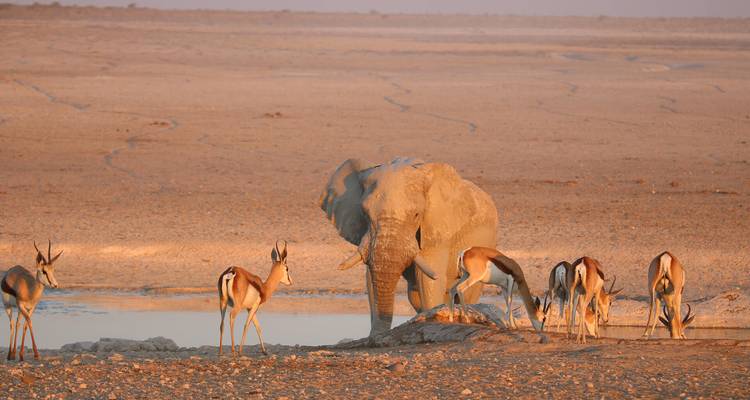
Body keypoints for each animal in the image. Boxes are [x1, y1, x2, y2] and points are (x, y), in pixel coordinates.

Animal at [319, 157, 498, 336]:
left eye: (416, 215)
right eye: (365, 213)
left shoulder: (436, 229)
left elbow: (428, 279)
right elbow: (370, 279)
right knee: (415, 296)